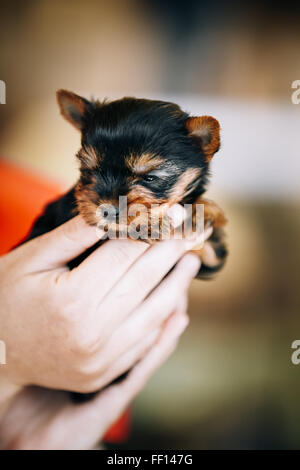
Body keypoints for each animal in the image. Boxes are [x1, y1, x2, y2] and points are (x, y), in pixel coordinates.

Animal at [25, 90, 227, 402]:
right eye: (88, 170)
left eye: (149, 177)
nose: (107, 209)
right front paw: (146, 224)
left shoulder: (209, 258)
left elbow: (211, 249)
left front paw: (201, 210)